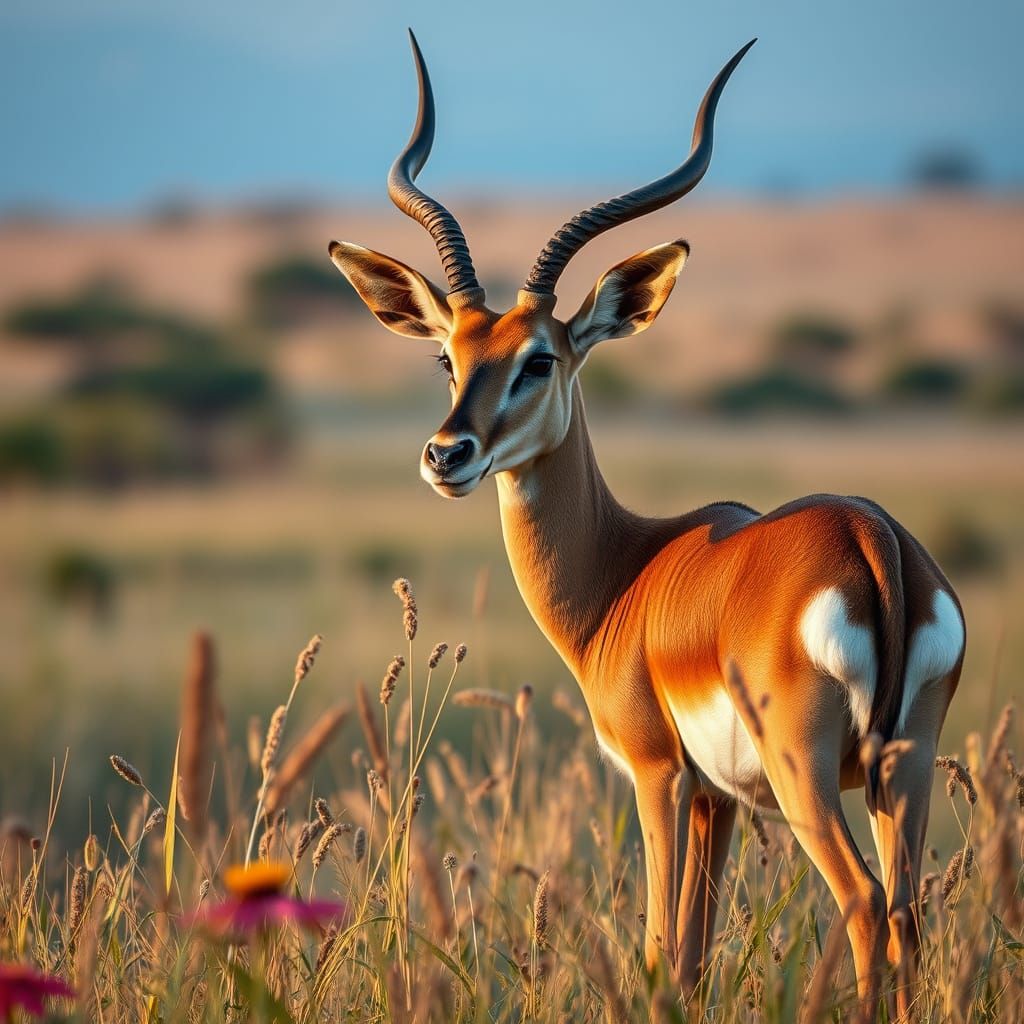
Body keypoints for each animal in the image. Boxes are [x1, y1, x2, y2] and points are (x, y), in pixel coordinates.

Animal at [329, 32, 966, 1016]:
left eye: (539, 359)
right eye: (448, 356)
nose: (448, 454)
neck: (624, 574)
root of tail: (876, 542)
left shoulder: (659, 776)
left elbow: (662, 950)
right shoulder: (719, 800)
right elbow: (693, 960)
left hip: (809, 773)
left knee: (864, 904)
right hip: (908, 764)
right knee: (906, 912)